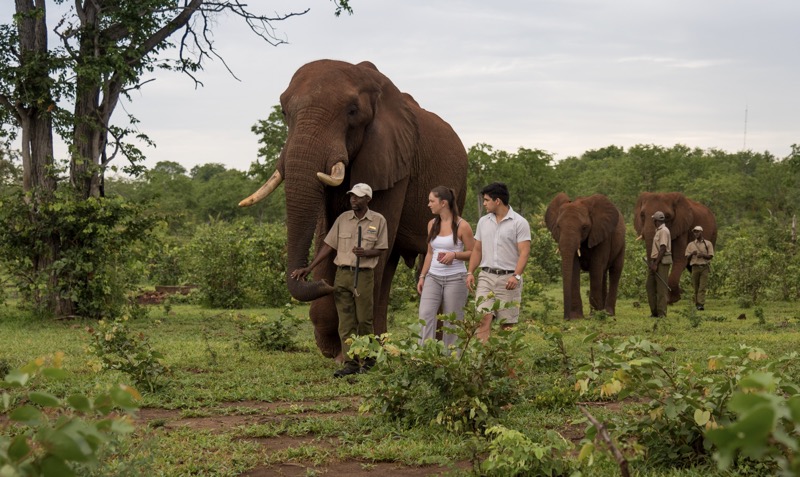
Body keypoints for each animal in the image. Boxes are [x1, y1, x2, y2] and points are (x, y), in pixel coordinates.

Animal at [241, 58, 472, 360]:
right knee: (389, 264)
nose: (308, 278)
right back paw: (384, 344)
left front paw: (357, 351)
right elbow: (327, 233)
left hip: (460, 188)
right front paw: (338, 349)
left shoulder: (396, 161)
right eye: (283, 111)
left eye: (352, 112)